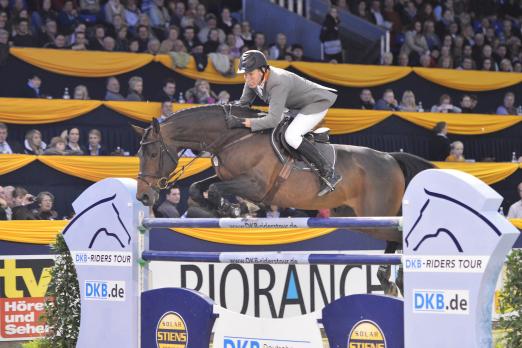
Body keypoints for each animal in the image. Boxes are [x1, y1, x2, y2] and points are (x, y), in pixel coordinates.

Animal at [132, 104, 432, 243]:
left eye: (153, 154)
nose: (144, 197)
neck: (233, 136)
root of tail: (390, 157)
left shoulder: (255, 185)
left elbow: (217, 189)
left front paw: (234, 209)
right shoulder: (228, 176)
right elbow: (198, 188)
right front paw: (220, 209)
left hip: (377, 217)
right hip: (354, 217)